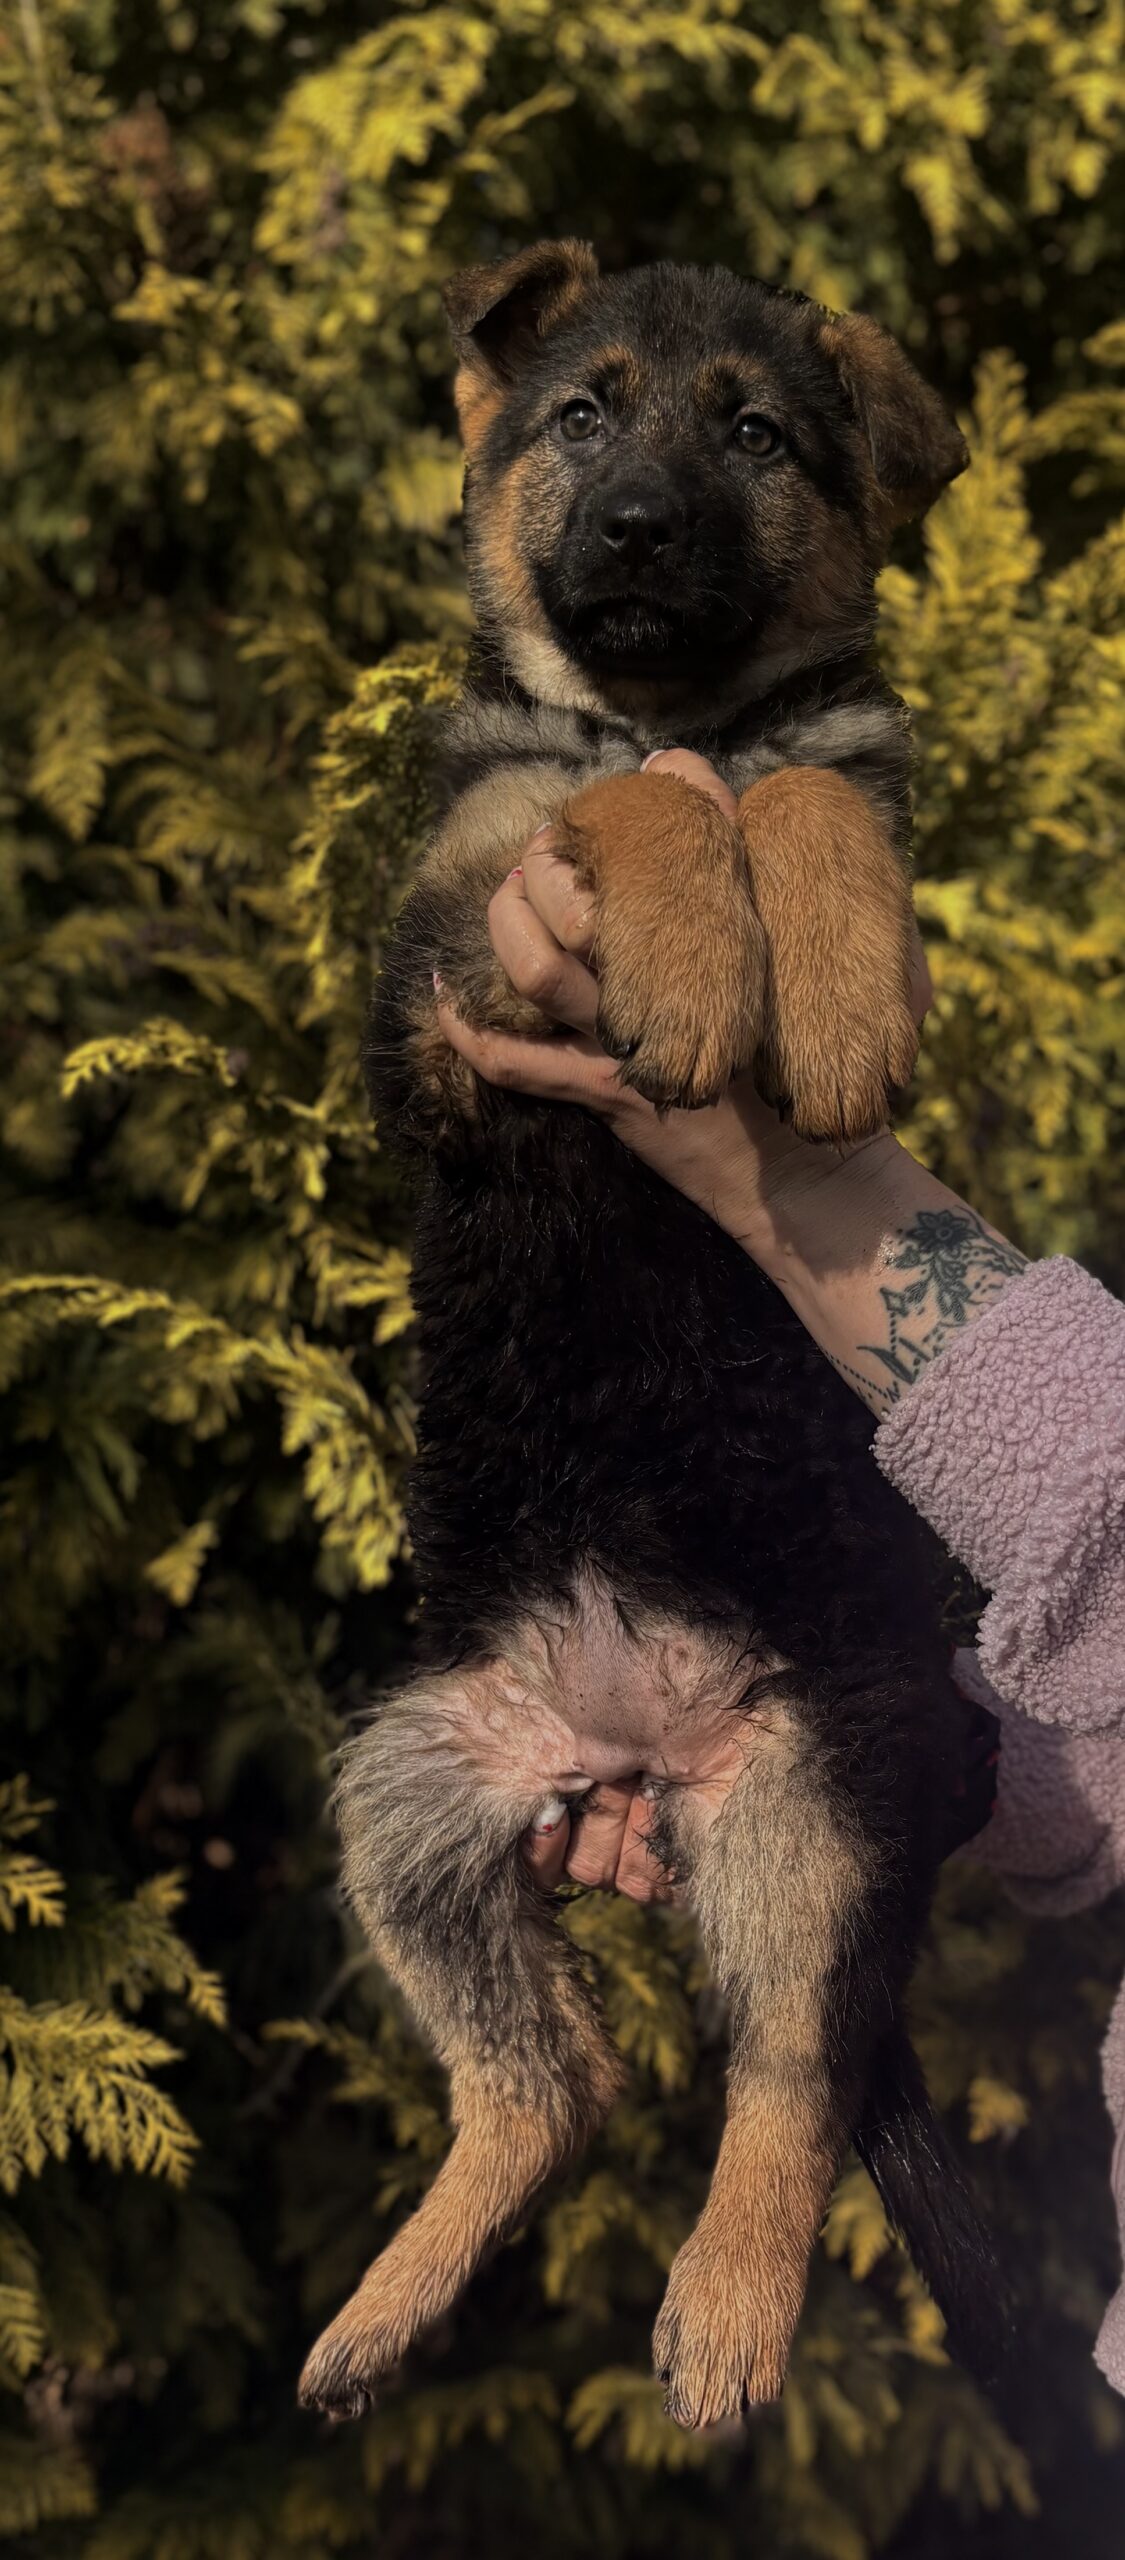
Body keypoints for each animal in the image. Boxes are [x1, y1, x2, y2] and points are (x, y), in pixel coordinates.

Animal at [299, 243, 1004, 2432]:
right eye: (584, 415)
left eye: (755, 435)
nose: (628, 532)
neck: (672, 697)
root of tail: (640, 1736)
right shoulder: (441, 999)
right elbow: (615, 798)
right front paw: (700, 953)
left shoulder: (830, 770)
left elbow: (805, 790)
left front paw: (828, 990)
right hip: (403, 1785)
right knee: (555, 2083)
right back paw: (383, 2308)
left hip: (822, 1787)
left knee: (786, 2071)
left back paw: (725, 2312)